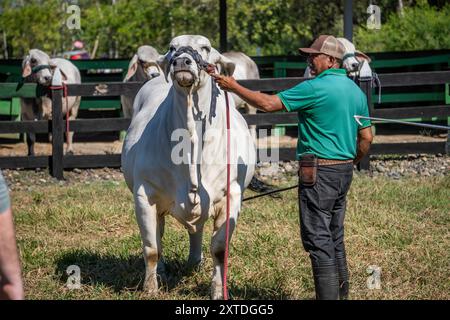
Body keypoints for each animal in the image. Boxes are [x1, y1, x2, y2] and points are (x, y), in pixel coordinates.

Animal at [121, 33, 256, 298]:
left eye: (205, 47)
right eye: (172, 47)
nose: (182, 61)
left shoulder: (231, 195)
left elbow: (219, 249)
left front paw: (217, 290)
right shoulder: (144, 194)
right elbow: (151, 248)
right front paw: (150, 288)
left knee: (197, 230)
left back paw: (195, 261)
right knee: (161, 233)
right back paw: (164, 270)